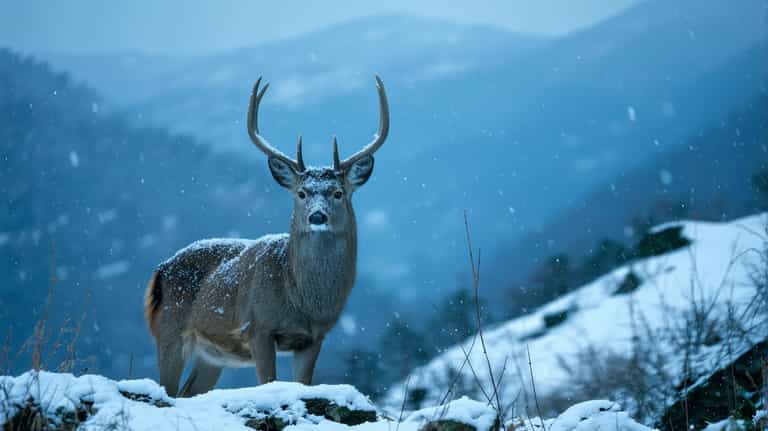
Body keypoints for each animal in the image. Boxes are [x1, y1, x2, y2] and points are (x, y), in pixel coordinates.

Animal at [143, 75, 389, 397]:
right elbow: (268, 381)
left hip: (213, 356)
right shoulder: (257, 326)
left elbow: (303, 383)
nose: (317, 216)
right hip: (169, 328)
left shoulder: (314, 337)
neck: (303, 301)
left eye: (338, 192)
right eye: (302, 193)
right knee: (167, 389)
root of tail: (160, 270)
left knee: (188, 392)